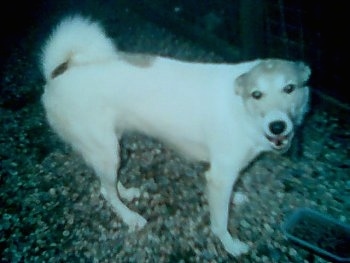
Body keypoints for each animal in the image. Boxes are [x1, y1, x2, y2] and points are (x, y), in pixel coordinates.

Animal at [39, 16, 310, 258]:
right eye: (257, 94)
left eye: (289, 88)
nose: (277, 126)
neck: (241, 105)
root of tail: (58, 72)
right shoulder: (219, 177)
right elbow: (220, 221)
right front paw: (230, 246)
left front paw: (236, 198)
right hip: (105, 150)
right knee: (106, 191)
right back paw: (130, 217)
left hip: (112, 147)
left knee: (109, 186)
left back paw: (126, 192)